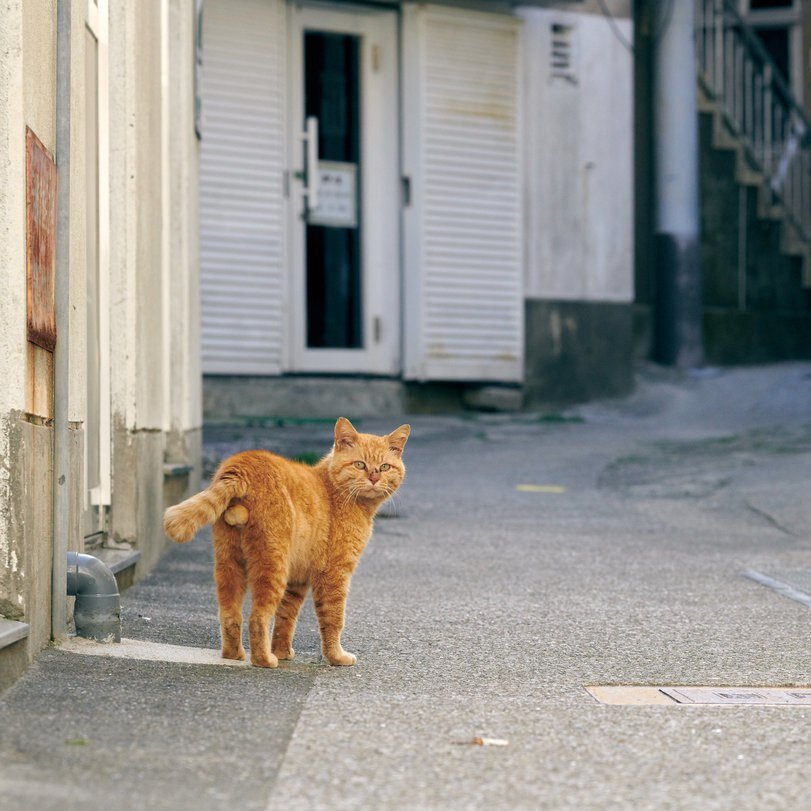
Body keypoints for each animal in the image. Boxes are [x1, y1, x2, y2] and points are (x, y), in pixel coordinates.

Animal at [163, 418, 412, 668]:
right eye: (360, 465)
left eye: (385, 467)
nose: (374, 478)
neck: (337, 493)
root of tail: (241, 464)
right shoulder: (334, 573)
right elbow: (334, 618)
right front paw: (336, 657)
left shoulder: (298, 579)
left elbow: (286, 617)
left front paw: (282, 651)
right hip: (273, 565)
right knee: (258, 618)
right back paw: (264, 659)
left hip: (229, 562)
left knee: (230, 615)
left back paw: (235, 655)